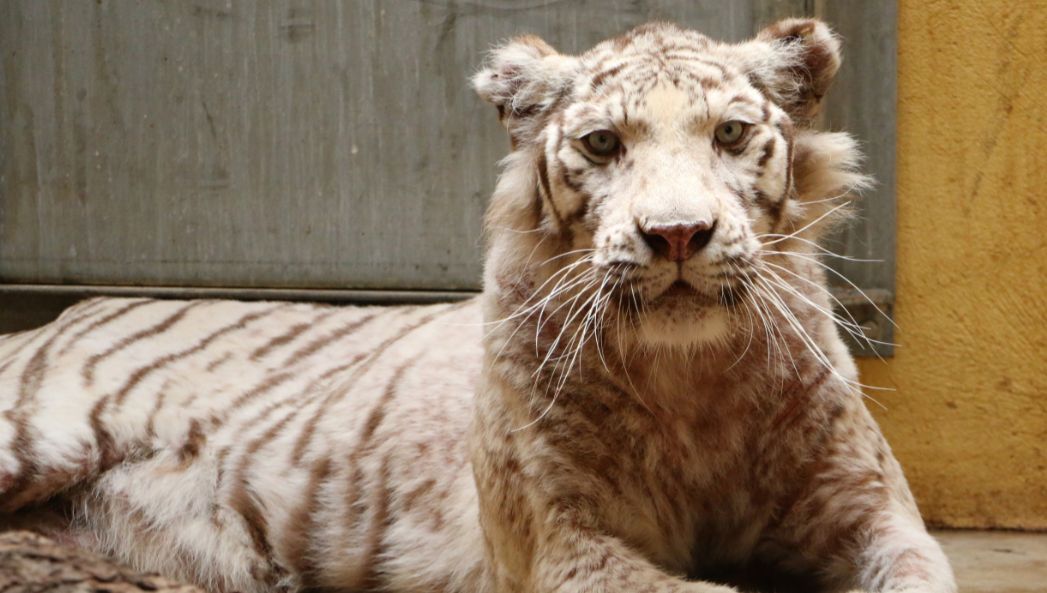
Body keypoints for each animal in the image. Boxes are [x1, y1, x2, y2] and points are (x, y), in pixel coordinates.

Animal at [0, 18, 959, 593]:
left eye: (727, 133)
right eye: (602, 145)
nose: (678, 233)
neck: (694, 380)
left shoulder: (870, 511)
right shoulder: (563, 544)